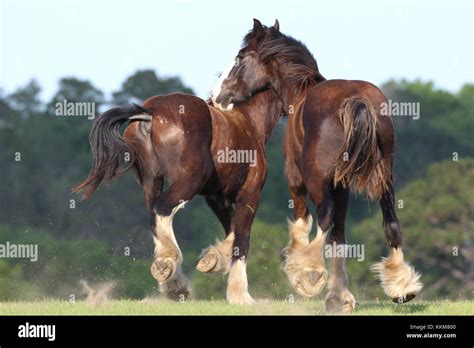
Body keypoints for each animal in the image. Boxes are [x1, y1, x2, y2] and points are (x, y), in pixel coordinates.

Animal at [73, 87, 282, 304]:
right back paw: (168, 265)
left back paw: (174, 283)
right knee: (163, 207)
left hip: (153, 181)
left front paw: (213, 259)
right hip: (188, 182)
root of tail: (150, 113)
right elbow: (241, 238)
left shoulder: (217, 197)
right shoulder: (249, 195)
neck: (248, 122)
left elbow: (231, 231)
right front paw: (240, 295)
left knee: (154, 214)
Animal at [214, 19, 422, 312]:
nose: (217, 96)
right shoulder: (342, 187)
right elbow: (339, 238)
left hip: (316, 182)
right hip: (384, 182)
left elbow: (305, 222)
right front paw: (341, 295)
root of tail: (357, 102)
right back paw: (402, 287)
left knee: (324, 219)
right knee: (390, 224)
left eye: (240, 58)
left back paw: (308, 273)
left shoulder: (296, 179)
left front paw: (306, 270)